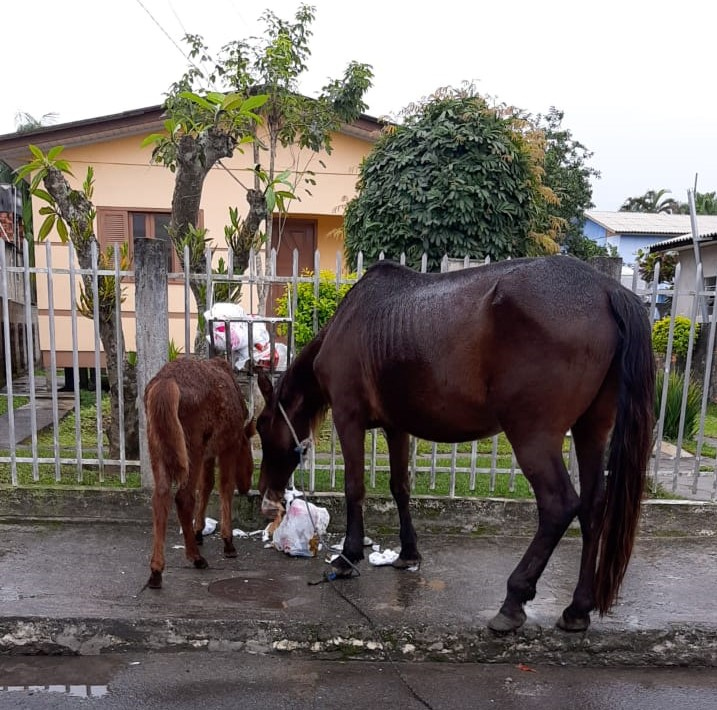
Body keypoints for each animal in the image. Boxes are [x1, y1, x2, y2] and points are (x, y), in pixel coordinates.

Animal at [143, 358, 255, 592]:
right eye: (250, 462)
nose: (246, 486)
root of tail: (165, 384)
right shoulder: (227, 446)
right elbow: (224, 487)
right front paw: (228, 541)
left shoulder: (208, 453)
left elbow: (206, 485)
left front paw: (198, 530)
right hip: (191, 445)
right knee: (183, 497)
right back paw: (195, 557)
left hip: (157, 445)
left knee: (161, 496)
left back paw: (156, 570)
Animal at [256, 258, 656, 636]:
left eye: (260, 427)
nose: (266, 496)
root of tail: (606, 290)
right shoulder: (396, 426)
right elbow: (400, 487)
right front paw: (408, 553)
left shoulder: (348, 418)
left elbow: (355, 488)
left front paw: (347, 557)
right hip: (591, 430)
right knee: (592, 507)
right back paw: (577, 609)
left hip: (533, 436)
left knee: (559, 506)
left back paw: (514, 599)